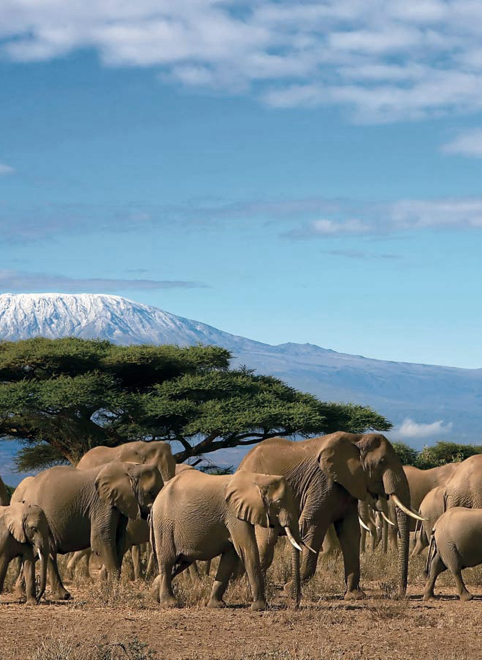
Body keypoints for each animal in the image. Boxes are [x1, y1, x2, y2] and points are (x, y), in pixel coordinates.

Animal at [19, 461, 163, 600]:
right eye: (150, 493)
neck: (131, 467)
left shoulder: (119, 505)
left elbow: (119, 541)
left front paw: (108, 590)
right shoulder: (102, 503)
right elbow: (101, 540)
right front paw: (113, 594)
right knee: (48, 551)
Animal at [150, 469, 303, 610]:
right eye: (278, 503)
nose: (296, 605)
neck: (258, 478)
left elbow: (230, 556)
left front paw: (216, 605)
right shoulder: (233, 514)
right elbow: (247, 550)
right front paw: (260, 607)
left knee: (181, 562)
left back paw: (154, 594)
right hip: (164, 524)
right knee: (168, 561)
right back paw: (170, 603)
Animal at [238, 432, 423, 598]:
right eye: (382, 462)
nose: (399, 594)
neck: (357, 438)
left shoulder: (347, 486)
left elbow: (350, 532)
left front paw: (355, 596)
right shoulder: (322, 482)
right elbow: (313, 525)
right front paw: (290, 590)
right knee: (266, 541)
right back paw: (249, 592)